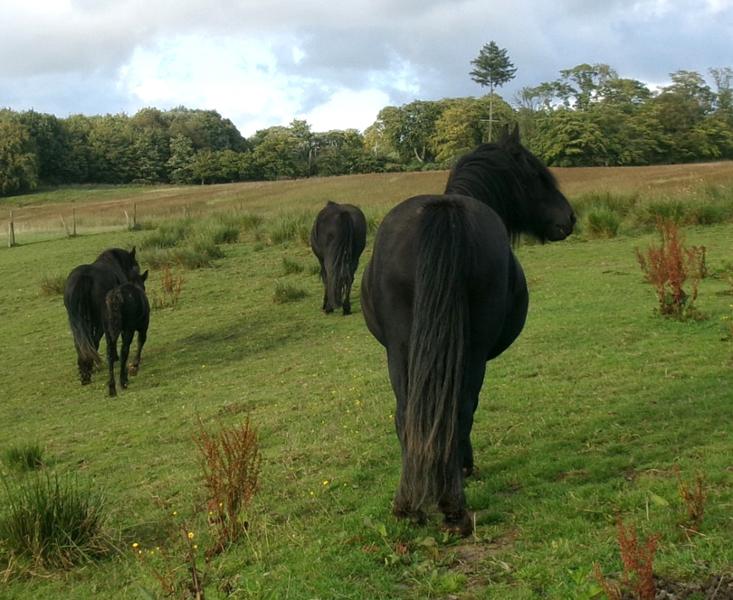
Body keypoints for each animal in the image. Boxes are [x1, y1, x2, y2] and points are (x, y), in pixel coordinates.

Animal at [63, 247, 141, 385]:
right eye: (137, 269)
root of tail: (84, 277)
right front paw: (115, 357)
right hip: (98, 321)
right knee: (94, 341)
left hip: (77, 323)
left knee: (81, 344)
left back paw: (84, 370)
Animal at [360, 125, 576, 535]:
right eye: (538, 175)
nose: (569, 218)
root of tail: (443, 214)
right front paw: (464, 465)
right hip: (472, 353)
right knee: (459, 410)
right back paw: (452, 506)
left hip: (400, 351)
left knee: (407, 414)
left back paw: (410, 506)